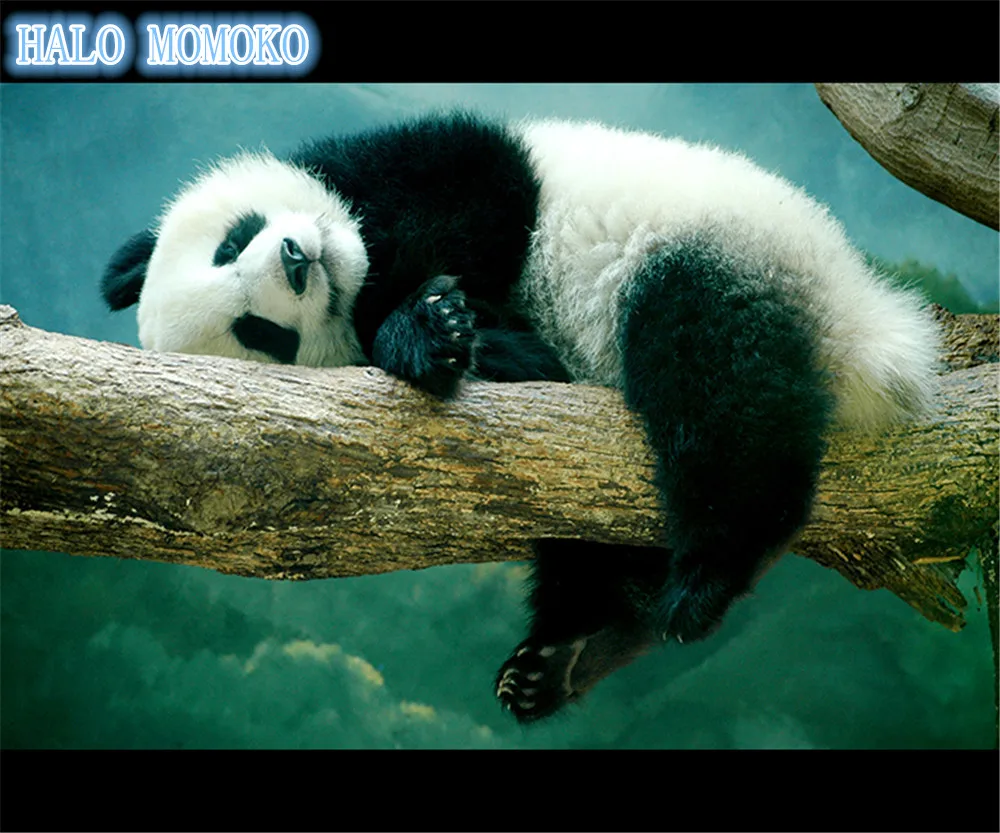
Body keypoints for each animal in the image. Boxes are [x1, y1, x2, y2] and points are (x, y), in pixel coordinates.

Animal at [102, 111, 939, 723]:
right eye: (259, 333)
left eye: (232, 240)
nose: (298, 259)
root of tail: (860, 327)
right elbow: (531, 364)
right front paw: (441, 332)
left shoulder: (430, 163)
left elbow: (473, 194)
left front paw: (425, 316)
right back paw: (573, 652)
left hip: (724, 246)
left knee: (721, 388)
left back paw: (702, 578)